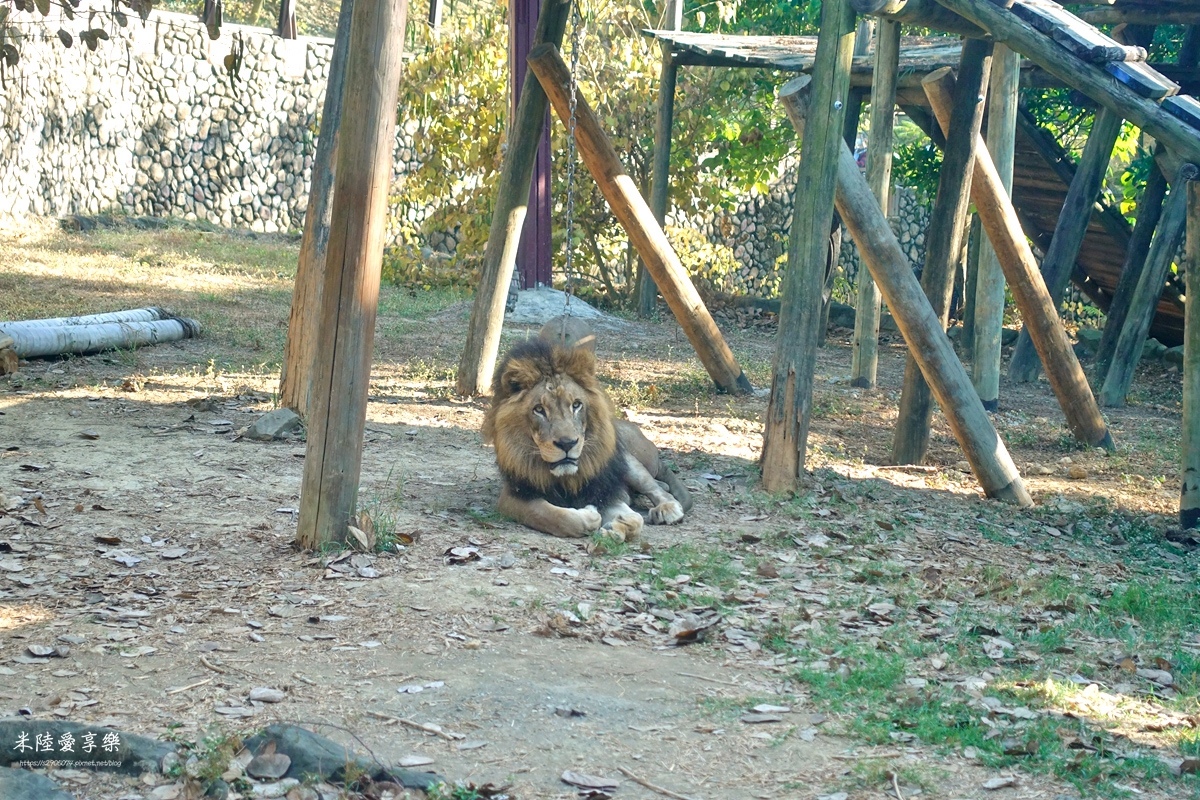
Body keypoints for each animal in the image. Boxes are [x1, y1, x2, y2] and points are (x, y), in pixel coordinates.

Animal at [480, 328, 696, 542]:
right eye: (539, 409)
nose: (567, 443)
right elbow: (551, 515)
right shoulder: (515, 495)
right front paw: (591, 516)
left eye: (576, 405)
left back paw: (667, 508)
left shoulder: (601, 489)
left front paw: (616, 526)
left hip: (628, 459)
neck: (565, 478)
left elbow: (635, 519)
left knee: (655, 488)